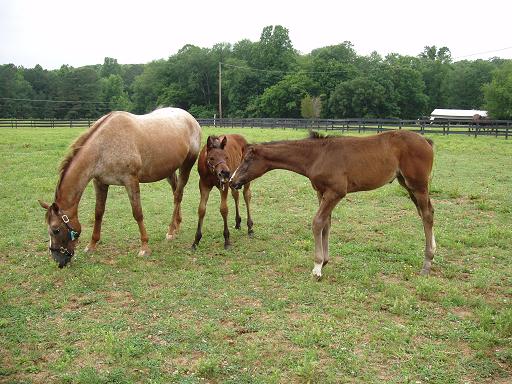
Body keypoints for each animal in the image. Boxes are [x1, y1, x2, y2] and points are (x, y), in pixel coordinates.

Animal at [38, 109, 201, 268]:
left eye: (56, 230)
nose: (58, 260)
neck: (103, 146)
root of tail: (190, 118)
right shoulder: (100, 182)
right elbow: (98, 213)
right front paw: (92, 245)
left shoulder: (131, 181)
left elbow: (138, 213)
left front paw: (145, 247)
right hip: (169, 170)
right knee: (175, 192)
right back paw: (177, 225)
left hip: (187, 165)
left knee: (178, 195)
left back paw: (171, 231)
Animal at [232, 130, 436, 278]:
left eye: (247, 160)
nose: (233, 181)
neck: (318, 156)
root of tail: (426, 141)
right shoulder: (321, 192)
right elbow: (326, 224)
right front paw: (325, 261)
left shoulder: (335, 193)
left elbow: (317, 223)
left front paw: (317, 267)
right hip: (407, 184)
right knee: (427, 212)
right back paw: (433, 253)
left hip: (418, 185)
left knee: (426, 215)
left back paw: (426, 263)